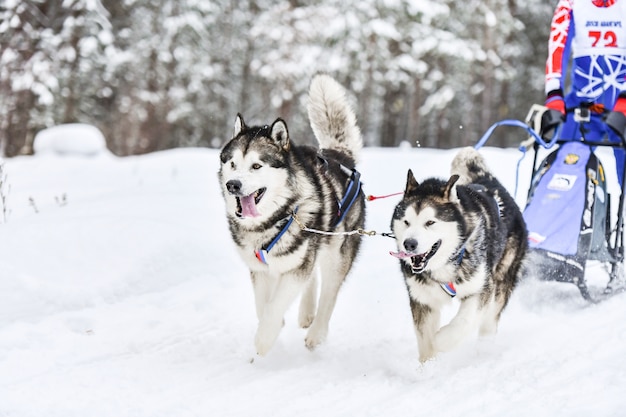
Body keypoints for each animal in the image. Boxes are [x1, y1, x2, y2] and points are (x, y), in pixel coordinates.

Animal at [217, 74, 364, 354]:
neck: (272, 221)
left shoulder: (294, 270)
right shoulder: (260, 270)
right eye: (232, 164)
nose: (233, 185)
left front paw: (264, 339)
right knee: (313, 278)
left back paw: (317, 332)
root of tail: (339, 156)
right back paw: (306, 313)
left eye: (256, 166)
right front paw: (272, 327)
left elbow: (275, 305)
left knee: (329, 293)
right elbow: (263, 305)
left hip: (336, 254)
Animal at [390, 147, 528, 360]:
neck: (445, 263)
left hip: (501, 281)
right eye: (406, 222)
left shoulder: (481, 289)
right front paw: (428, 365)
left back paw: (484, 350)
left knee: (489, 321)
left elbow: (463, 322)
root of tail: (491, 184)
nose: (409, 244)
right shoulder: (423, 300)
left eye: (430, 222)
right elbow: (425, 342)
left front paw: (441, 340)